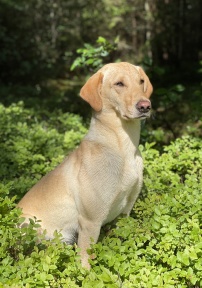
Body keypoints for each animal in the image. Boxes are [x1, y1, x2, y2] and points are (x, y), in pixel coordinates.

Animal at [18, 62, 152, 268]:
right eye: (119, 84)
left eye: (141, 81)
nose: (145, 106)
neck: (122, 147)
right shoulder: (91, 221)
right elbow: (85, 261)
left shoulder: (125, 212)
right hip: (31, 228)